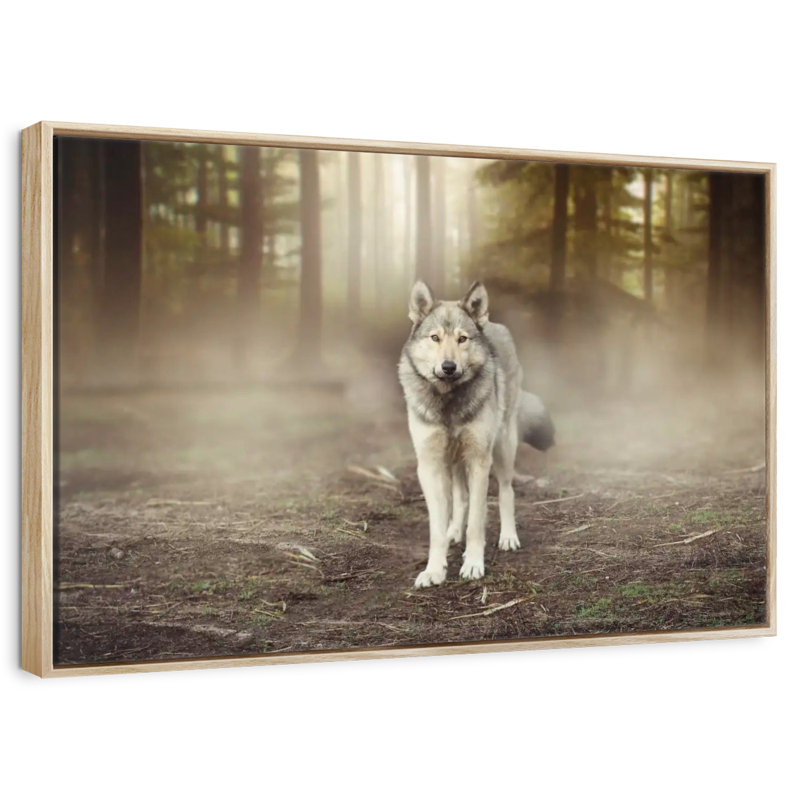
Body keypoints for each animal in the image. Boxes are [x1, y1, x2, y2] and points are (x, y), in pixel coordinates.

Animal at [398, 281, 554, 588]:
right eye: (435, 338)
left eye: (462, 339)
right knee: (460, 498)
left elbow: (477, 522)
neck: (449, 402)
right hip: (454, 460)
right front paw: (434, 569)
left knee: (506, 491)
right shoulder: (430, 466)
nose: (448, 367)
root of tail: (493, 323)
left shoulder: (479, 461)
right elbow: (436, 528)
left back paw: (508, 537)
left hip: (502, 448)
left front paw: (472, 564)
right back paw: (453, 532)